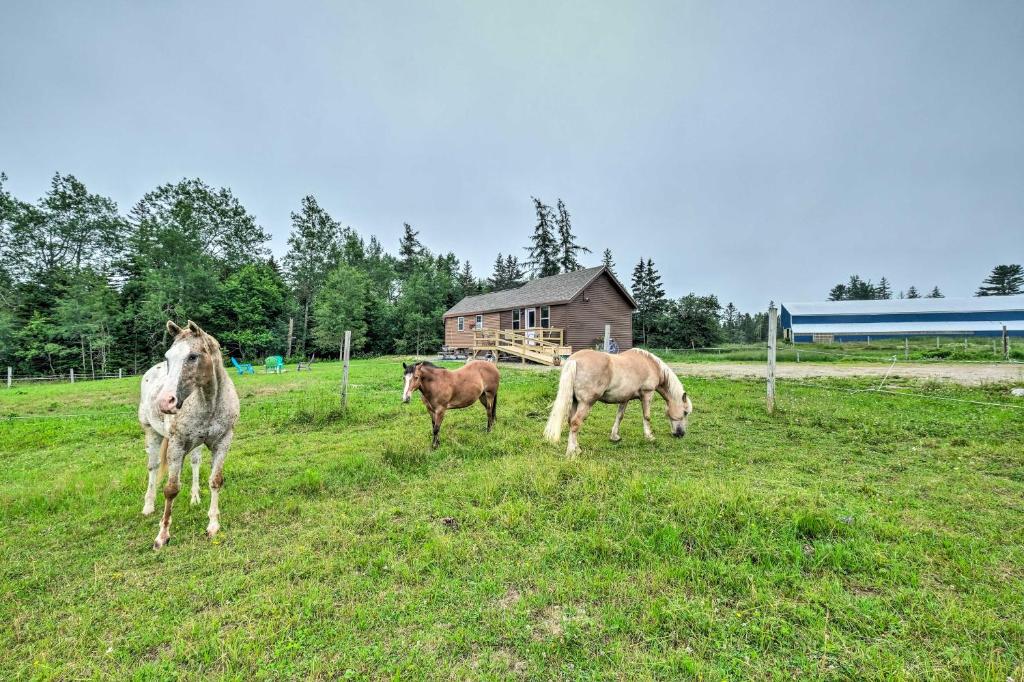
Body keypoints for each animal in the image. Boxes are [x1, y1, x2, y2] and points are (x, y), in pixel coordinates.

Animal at [138, 319, 239, 548]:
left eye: (193, 356)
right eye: (168, 357)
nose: (165, 402)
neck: (209, 402)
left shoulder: (223, 442)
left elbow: (215, 481)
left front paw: (213, 525)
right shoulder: (176, 445)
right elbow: (171, 489)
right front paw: (162, 536)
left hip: (196, 445)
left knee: (195, 463)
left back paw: (194, 498)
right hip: (152, 433)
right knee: (153, 467)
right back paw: (148, 506)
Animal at [540, 348, 692, 454]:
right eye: (685, 412)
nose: (681, 434)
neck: (650, 364)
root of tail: (574, 360)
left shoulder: (624, 398)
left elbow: (619, 416)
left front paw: (614, 436)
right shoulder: (647, 394)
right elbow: (647, 417)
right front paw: (649, 437)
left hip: (575, 402)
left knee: (571, 422)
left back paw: (577, 448)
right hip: (586, 403)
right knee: (576, 423)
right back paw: (572, 452)